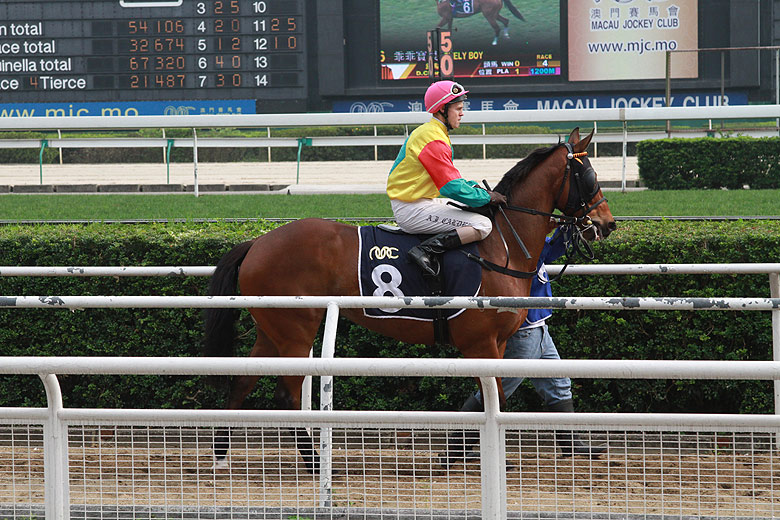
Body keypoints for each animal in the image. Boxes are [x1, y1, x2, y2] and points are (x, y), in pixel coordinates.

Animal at [203, 127, 616, 473]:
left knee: (241, 381)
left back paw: (221, 455)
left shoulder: (498, 343)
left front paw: (461, 456)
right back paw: (316, 465)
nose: (607, 223)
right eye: (589, 176)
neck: (501, 244)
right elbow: (494, 397)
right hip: (295, 330)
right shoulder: (480, 343)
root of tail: (257, 242)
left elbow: (490, 398)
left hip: (272, 328)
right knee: (287, 395)